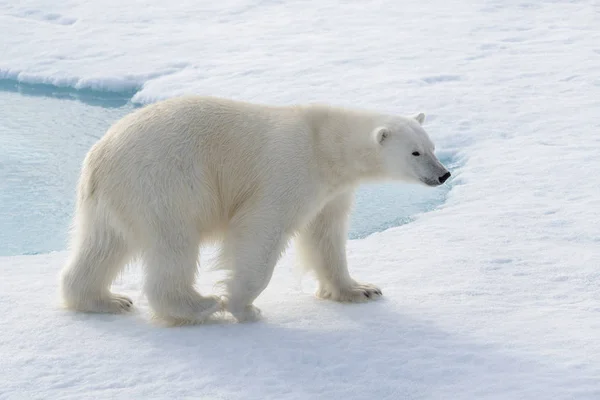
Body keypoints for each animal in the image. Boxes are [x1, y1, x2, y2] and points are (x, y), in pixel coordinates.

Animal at [59, 95, 450, 324]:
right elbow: (261, 230)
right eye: (415, 152)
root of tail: (100, 155)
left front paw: (361, 290)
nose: (444, 174)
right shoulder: (289, 170)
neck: (326, 144)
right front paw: (243, 306)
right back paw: (201, 305)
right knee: (173, 245)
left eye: (433, 146)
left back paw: (105, 300)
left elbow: (326, 235)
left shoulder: (332, 191)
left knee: (102, 245)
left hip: (113, 199)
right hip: (165, 183)